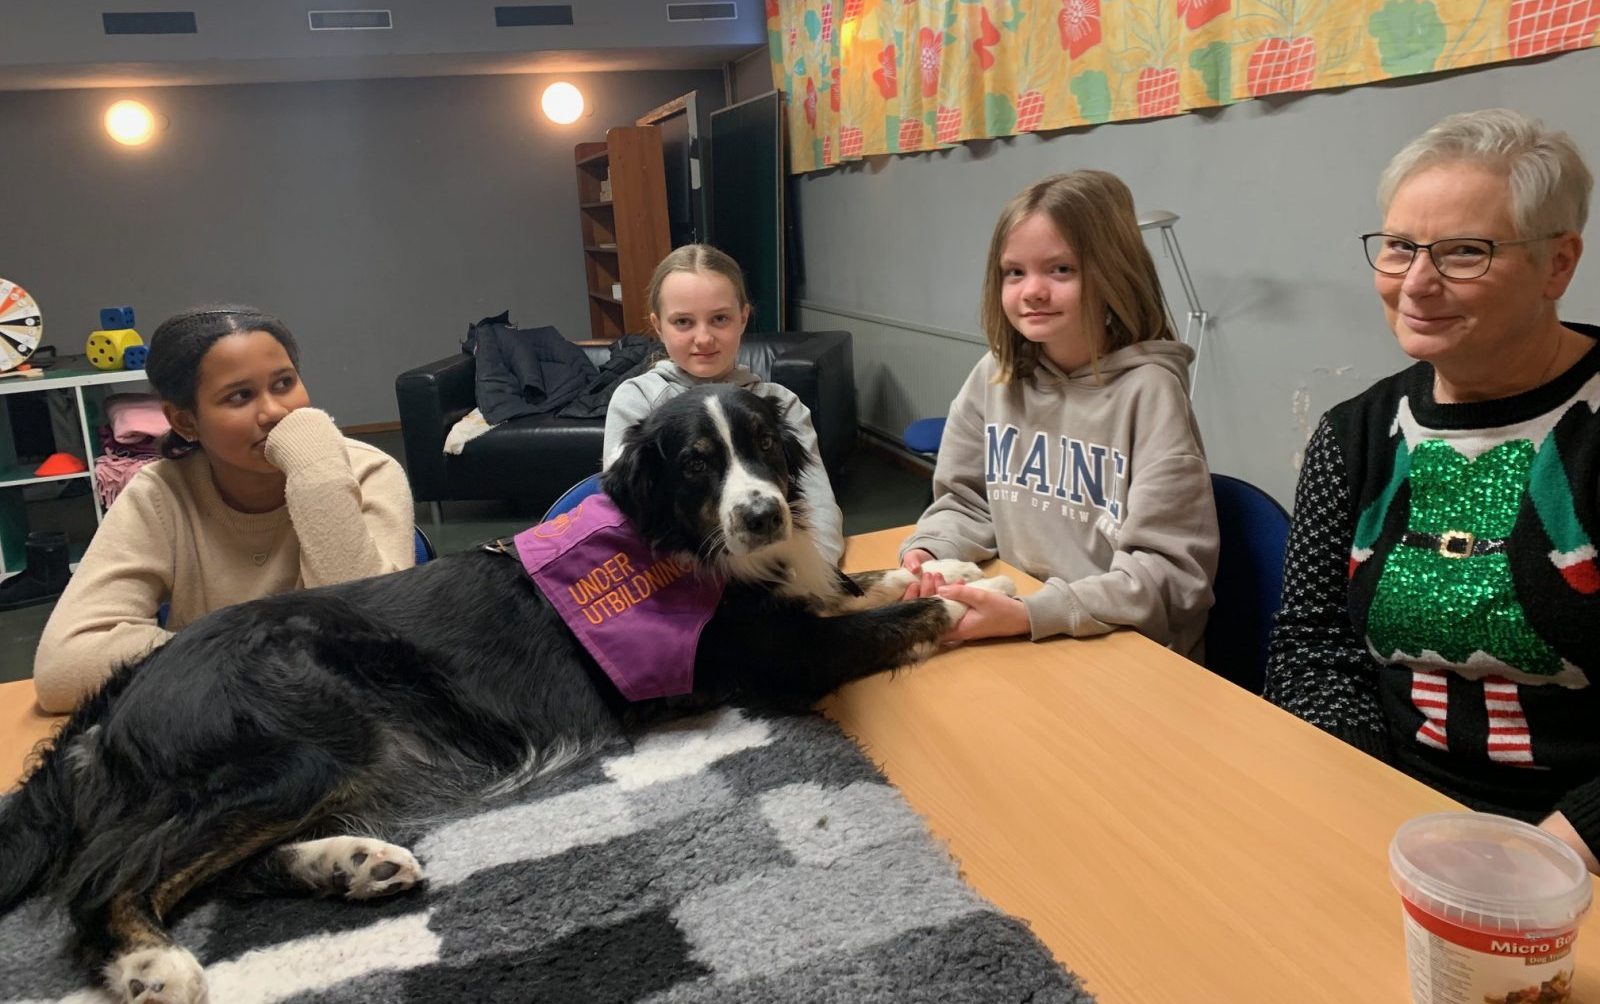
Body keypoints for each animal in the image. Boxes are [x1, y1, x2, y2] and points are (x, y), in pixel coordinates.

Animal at [0, 384, 1015, 1004]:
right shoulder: (775, 657)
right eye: (696, 463)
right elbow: (883, 621)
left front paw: (955, 570)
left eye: (765, 446)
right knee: (107, 878)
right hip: (304, 742)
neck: (674, 541)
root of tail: (125, 692)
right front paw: (979, 606)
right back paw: (151, 964)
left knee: (221, 866)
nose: (763, 514)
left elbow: (864, 584)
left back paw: (352, 864)